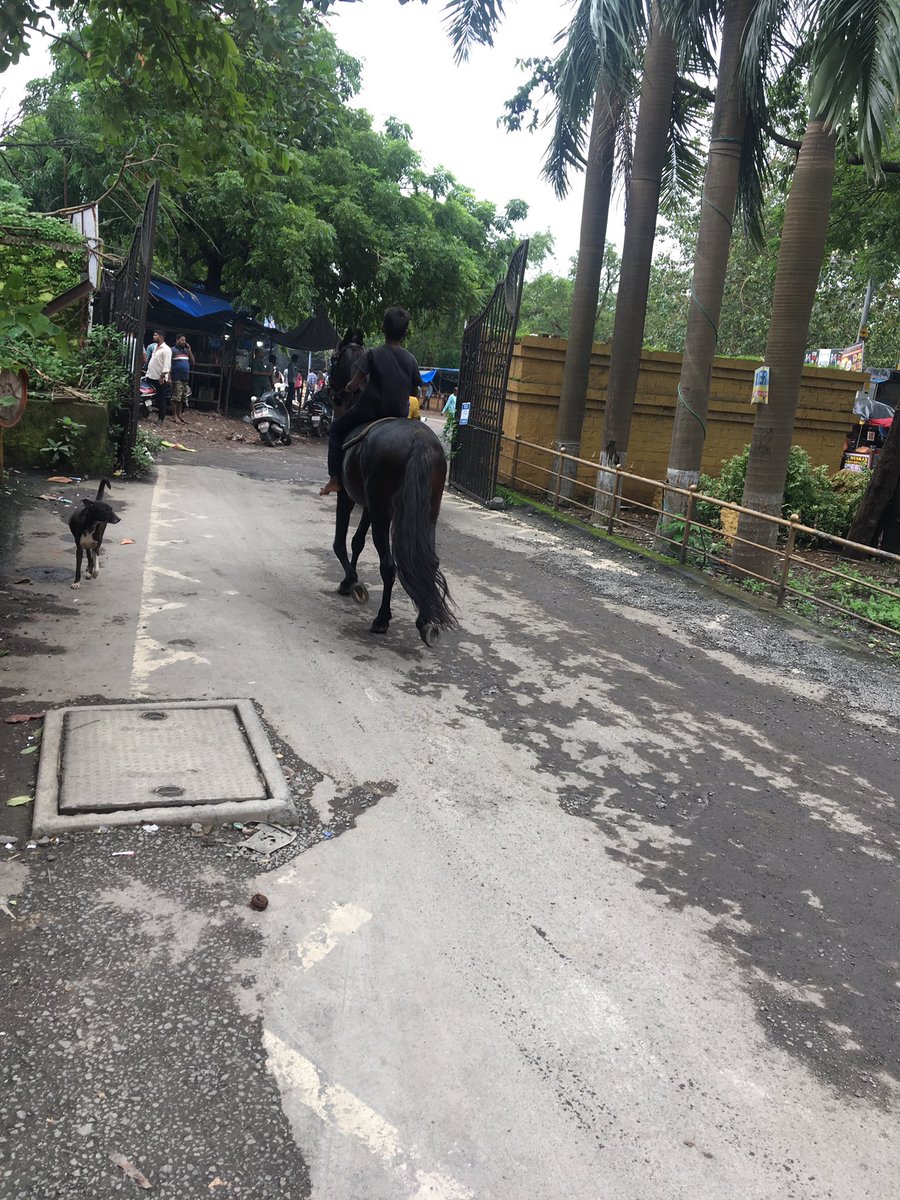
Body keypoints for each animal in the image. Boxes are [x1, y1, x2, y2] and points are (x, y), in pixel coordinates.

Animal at [326, 348, 458, 648]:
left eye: (336, 358)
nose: (332, 390)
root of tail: (420, 442)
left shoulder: (349, 498)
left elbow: (340, 542)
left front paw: (354, 583)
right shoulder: (370, 506)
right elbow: (357, 541)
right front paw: (347, 582)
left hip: (383, 512)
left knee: (388, 565)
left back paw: (382, 618)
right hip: (425, 512)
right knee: (428, 562)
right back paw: (426, 620)